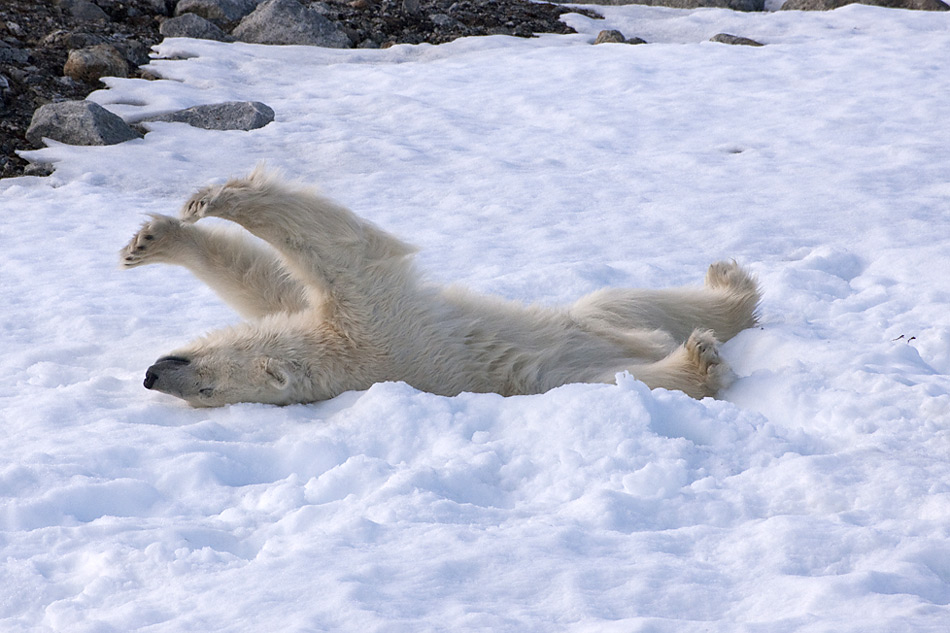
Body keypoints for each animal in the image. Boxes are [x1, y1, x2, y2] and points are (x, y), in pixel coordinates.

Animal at [119, 167, 764, 404]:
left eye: (205, 386)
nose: (152, 377)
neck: (339, 359)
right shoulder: (374, 326)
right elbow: (341, 252)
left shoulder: (362, 319)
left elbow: (278, 274)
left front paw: (160, 233)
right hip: (569, 370)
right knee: (632, 367)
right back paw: (704, 346)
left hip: (587, 318)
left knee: (625, 301)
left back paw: (725, 286)